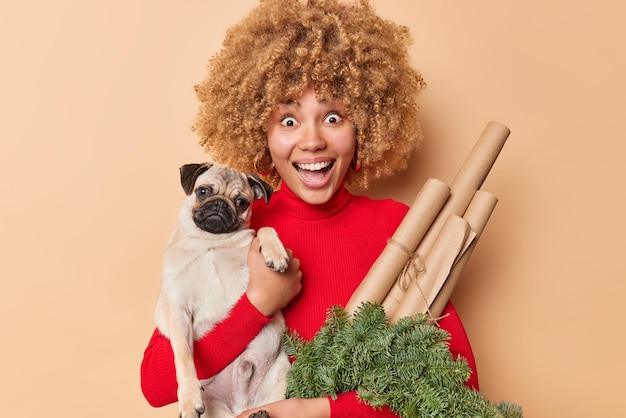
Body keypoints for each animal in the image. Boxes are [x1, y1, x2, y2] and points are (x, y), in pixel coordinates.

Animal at [156, 162, 292, 418]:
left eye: (241, 202)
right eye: (203, 191)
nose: (220, 204)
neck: (211, 241)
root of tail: (241, 406)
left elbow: (265, 229)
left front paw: (276, 253)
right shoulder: (178, 310)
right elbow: (184, 358)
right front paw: (189, 401)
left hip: (283, 372)